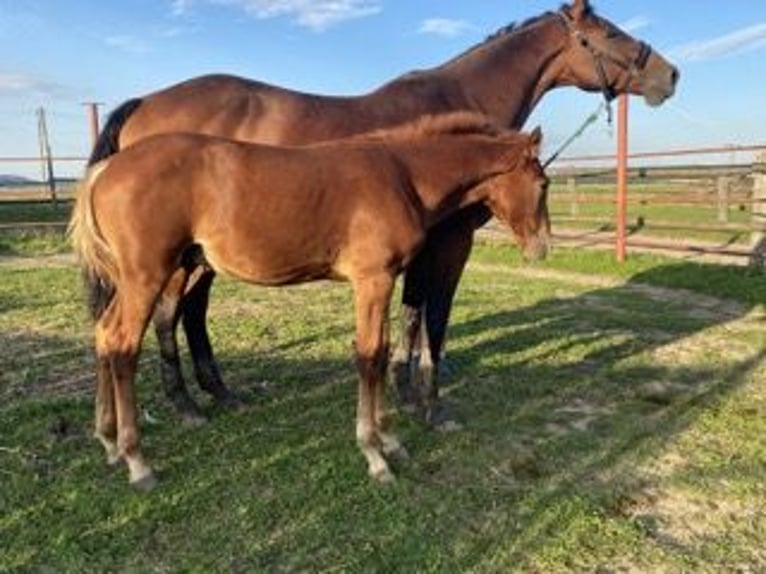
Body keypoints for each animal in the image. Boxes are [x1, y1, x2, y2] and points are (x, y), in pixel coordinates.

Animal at [70, 113, 551, 489]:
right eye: (544, 183)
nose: (541, 248)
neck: (402, 175)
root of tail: (105, 170)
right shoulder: (372, 280)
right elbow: (370, 356)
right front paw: (375, 454)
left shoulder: (382, 282)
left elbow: (379, 355)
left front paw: (390, 441)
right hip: (146, 277)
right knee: (123, 345)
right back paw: (137, 461)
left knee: (103, 334)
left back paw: (109, 442)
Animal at [88, 0, 679, 426]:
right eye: (611, 33)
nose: (671, 75)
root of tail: (144, 102)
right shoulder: (449, 244)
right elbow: (432, 318)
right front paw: (425, 401)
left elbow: (412, 315)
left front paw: (401, 387)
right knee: (169, 315)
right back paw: (186, 405)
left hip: (198, 257)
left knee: (186, 314)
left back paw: (216, 394)